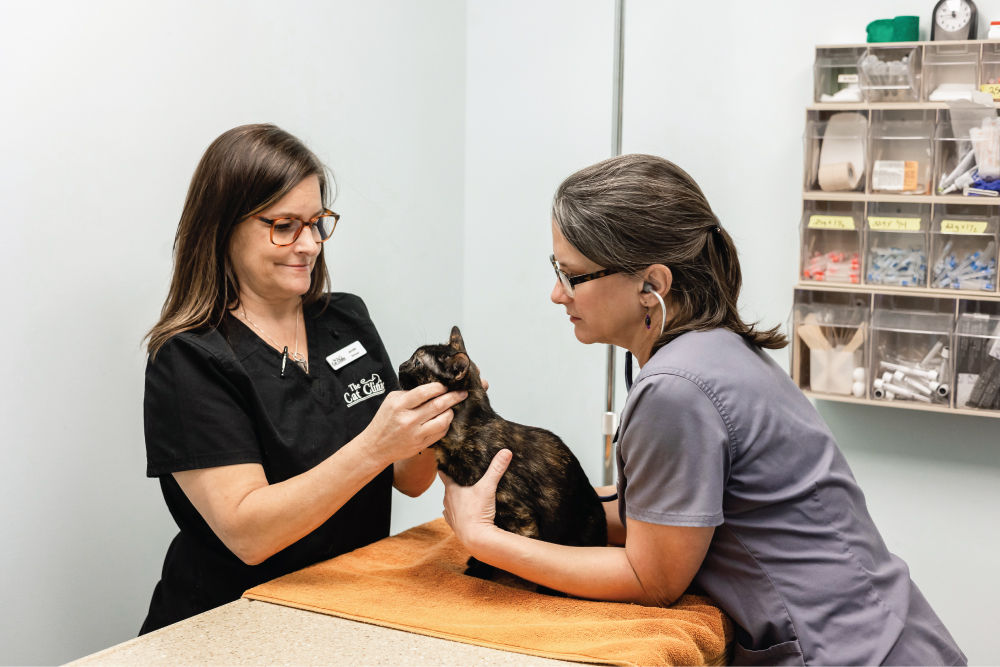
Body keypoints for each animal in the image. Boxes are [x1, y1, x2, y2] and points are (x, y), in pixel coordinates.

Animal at [400, 326, 608, 588]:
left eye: (417, 362)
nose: (400, 365)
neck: (467, 431)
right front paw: (477, 568)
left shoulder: (519, 516)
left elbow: (503, 551)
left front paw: (485, 573)